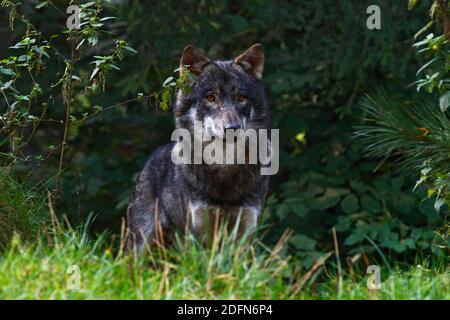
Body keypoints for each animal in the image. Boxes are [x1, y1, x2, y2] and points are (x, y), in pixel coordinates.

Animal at [125, 43, 268, 255]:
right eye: (211, 97)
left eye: (241, 97)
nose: (232, 128)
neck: (224, 166)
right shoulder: (198, 232)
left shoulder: (244, 234)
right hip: (142, 245)